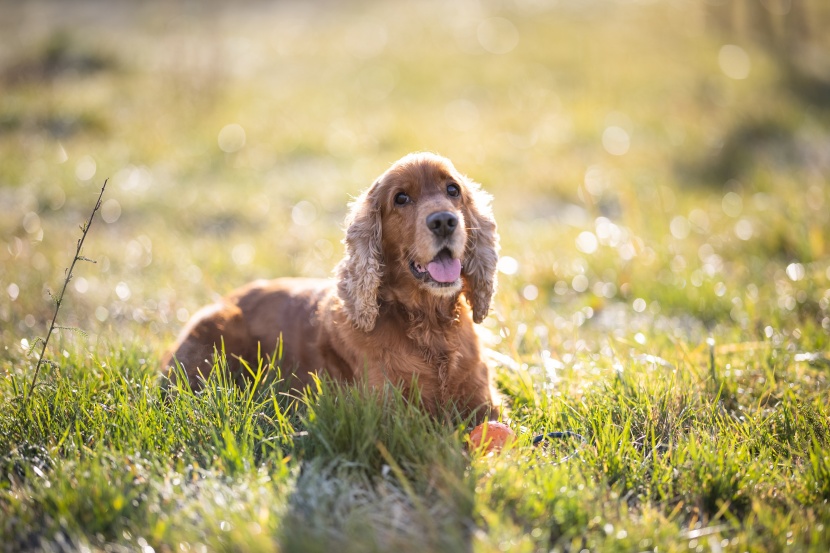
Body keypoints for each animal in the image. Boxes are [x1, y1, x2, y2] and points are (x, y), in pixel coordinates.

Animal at [162, 153, 500, 420]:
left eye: (453, 189)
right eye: (401, 198)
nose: (444, 221)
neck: (429, 324)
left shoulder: (485, 402)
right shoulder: (391, 411)